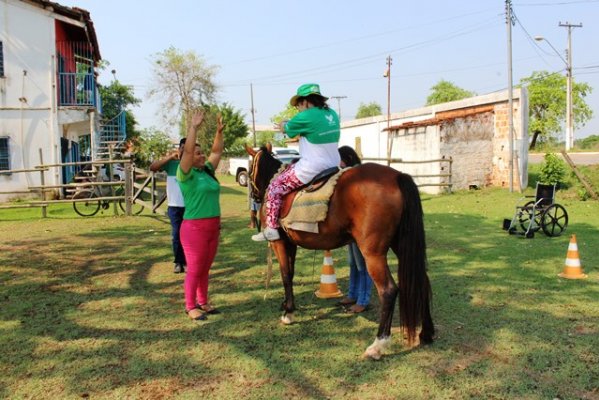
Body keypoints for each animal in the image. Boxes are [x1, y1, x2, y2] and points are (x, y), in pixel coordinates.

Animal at [246, 144, 434, 360]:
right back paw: (426, 332)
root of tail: (397, 176)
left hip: (373, 253)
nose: (254, 198)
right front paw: (286, 304)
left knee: (388, 291)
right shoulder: (290, 244)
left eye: (249, 168)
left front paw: (288, 313)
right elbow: (291, 274)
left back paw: (378, 345)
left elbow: (285, 275)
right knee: (422, 280)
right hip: (400, 244)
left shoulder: (279, 243)